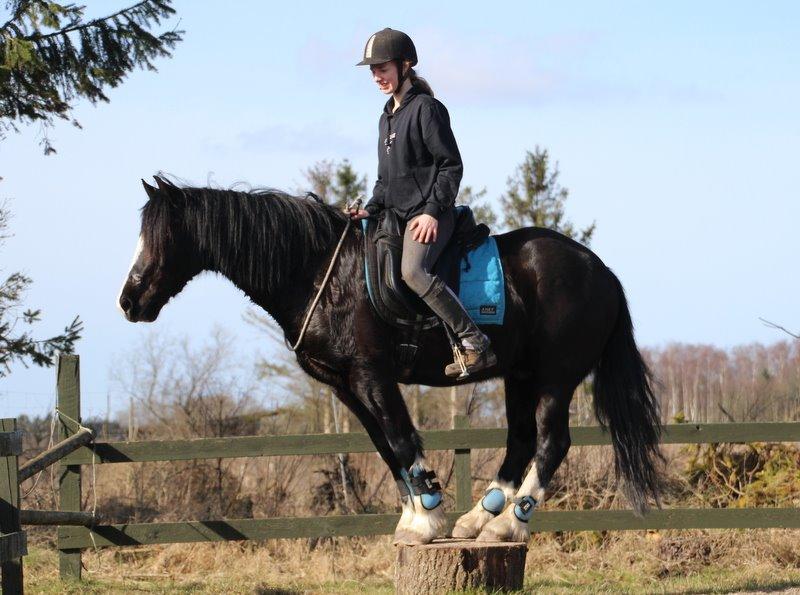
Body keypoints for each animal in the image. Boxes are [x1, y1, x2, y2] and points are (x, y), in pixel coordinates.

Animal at [119, 176, 664, 544]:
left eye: (162, 238)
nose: (129, 301)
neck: (320, 273)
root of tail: (602, 271)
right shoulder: (346, 386)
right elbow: (385, 449)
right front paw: (414, 517)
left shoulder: (372, 376)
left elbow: (402, 441)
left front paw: (429, 518)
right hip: (520, 375)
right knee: (521, 439)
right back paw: (478, 518)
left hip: (555, 377)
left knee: (551, 443)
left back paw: (508, 524)